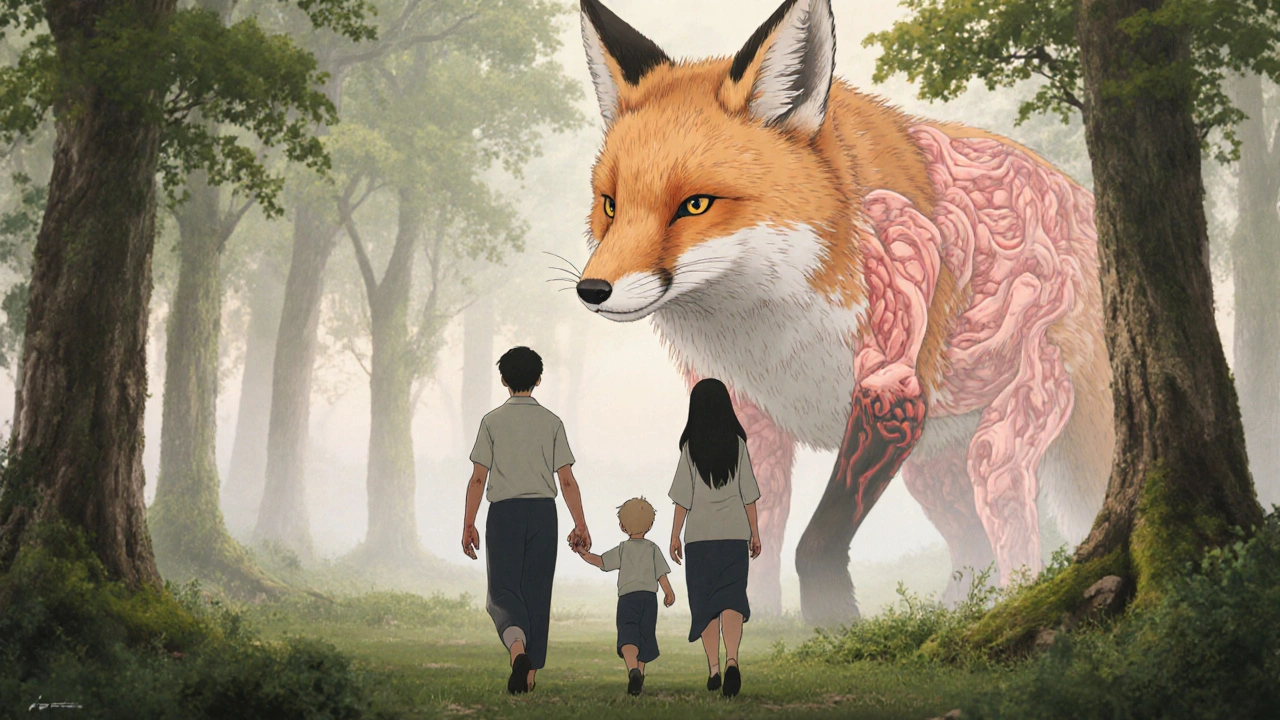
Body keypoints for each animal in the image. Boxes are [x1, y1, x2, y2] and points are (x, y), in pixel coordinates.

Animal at [574, 0, 1115, 625]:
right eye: (611, 205)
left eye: (695, 205)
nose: (591, 290)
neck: (769, 335)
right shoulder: (744, 414)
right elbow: (758, 542)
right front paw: (756, 624)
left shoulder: (892, 388)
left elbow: (813, 544)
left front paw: (833, 621)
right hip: (936, 472)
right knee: (970, 553)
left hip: (1002, 444)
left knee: (1018, 540)